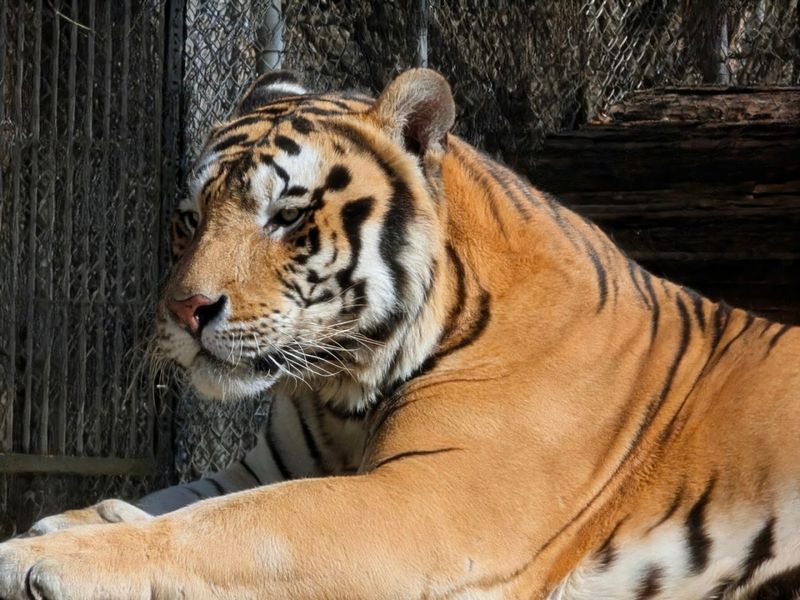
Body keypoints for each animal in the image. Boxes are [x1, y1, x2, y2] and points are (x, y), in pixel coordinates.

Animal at [1, 68, 798, 600]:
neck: (341, 385)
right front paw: (75, 520)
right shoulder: (264, 467)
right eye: (189, 219)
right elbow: (194, 499)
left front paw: (42, 556)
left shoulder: (434, 500)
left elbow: (239, 527)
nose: (185, 309)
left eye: (286, 216)